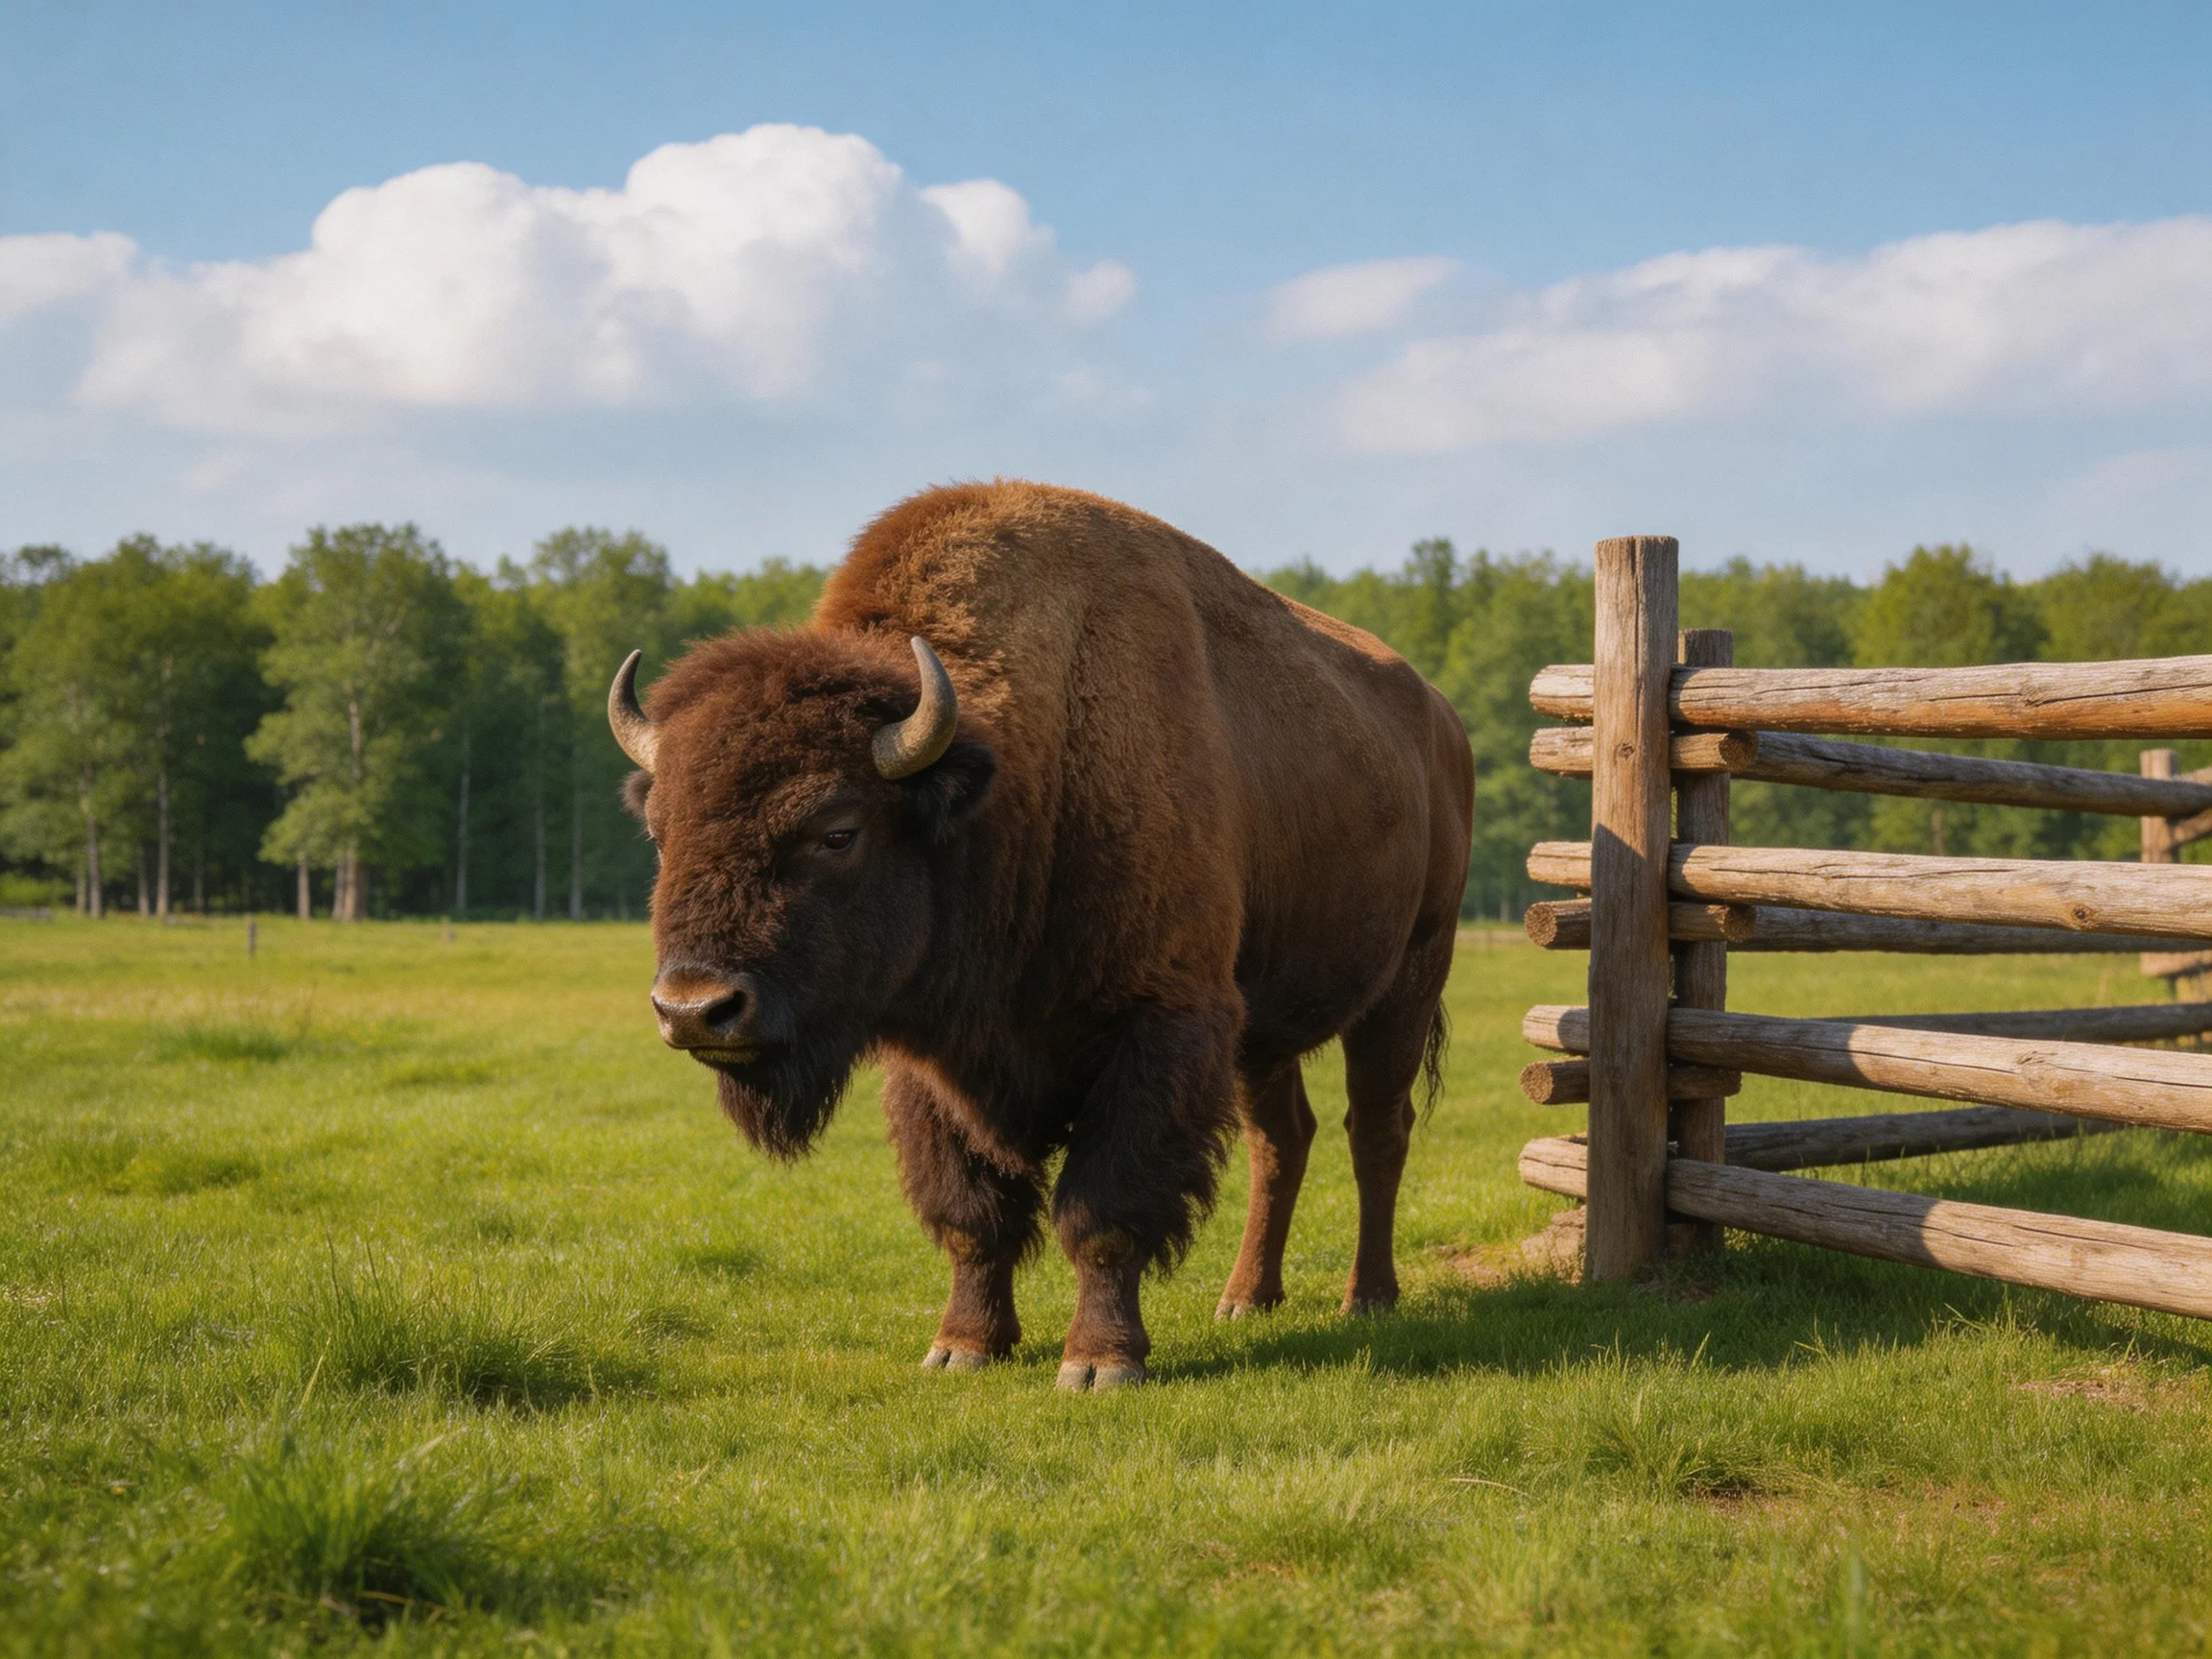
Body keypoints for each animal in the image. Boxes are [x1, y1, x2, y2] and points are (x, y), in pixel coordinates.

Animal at [611, 482, 1473, 1388]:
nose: (695, 1009)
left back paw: (1367, 1298)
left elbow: (1102, 1213)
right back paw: (1246, 1299)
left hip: (1408, 982)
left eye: (838, 832)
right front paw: (962, 1348)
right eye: (659, 831)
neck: (1019, 780)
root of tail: (1442, 724)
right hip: (1262, 1031)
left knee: (1375, 1131)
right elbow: (971, 1214)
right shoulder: (934, 1063)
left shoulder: (1159, 1029)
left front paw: (1099, 1364)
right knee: (1283, 1140)